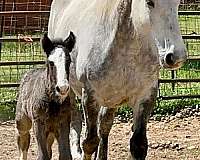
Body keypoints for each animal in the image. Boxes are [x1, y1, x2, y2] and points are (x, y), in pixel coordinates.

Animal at [47, 0, 187, 159]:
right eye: (149, 2)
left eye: (177, 3)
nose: (176, 57)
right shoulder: (90, 97)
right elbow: (89, 142)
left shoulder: (145, 97)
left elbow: (138, 145)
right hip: (68, 89)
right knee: (76, 121)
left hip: (111, 99)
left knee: (104, 126)